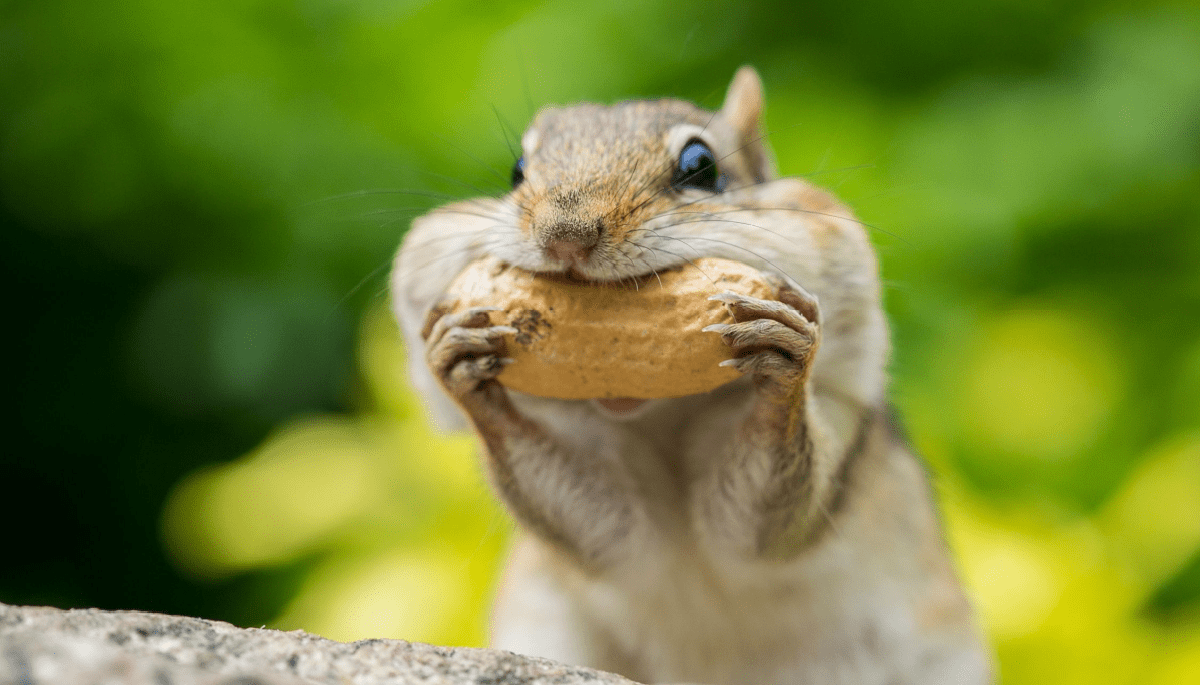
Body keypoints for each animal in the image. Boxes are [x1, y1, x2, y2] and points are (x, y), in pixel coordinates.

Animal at [389, 67, 992, 685]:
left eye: (700, 166)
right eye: (516, 172)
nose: (565, 235)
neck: (660, 416)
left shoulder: (840, 421)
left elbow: (764, 519)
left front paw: (783, 366)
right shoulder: (610, 527)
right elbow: (594, 525)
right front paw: (464, 370)